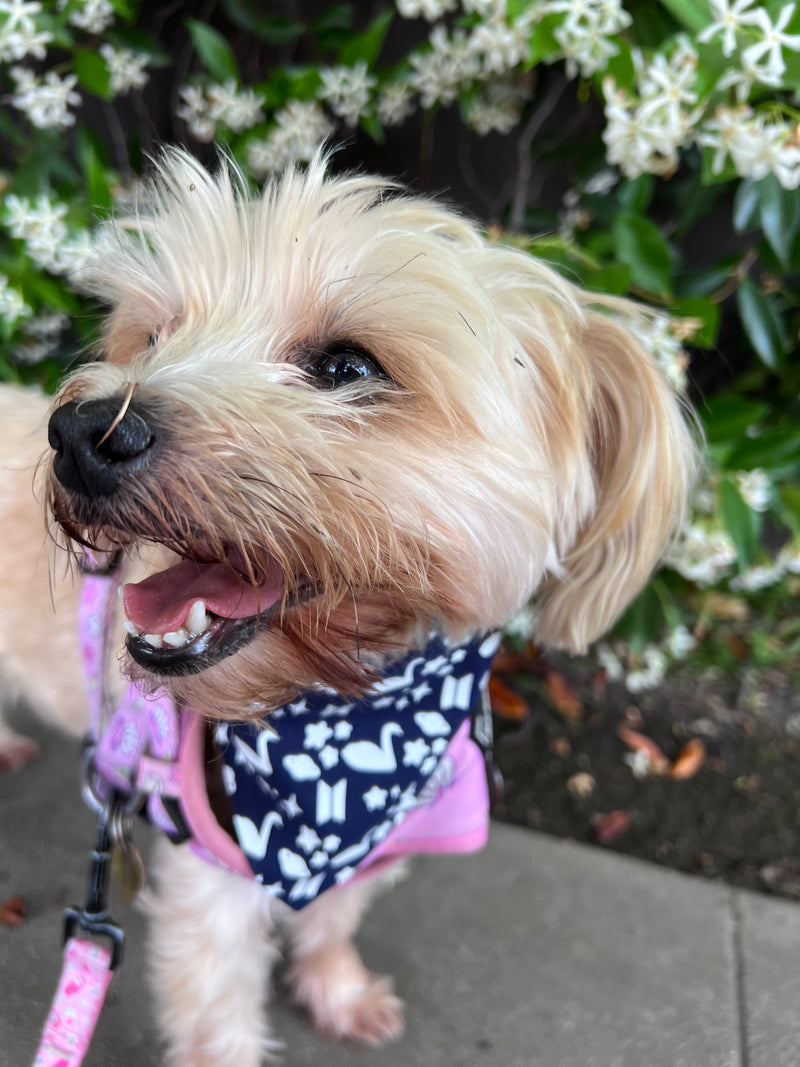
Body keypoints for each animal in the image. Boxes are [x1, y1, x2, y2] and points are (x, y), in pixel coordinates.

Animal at [0, 152, 699, 1067]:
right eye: (153, 337)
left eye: (348, 367)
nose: (81, 434)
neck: (345, 722)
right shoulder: (212, 885)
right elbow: (218, 1015)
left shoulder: (380, 840)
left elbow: (333, 917)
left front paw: (337, 989)